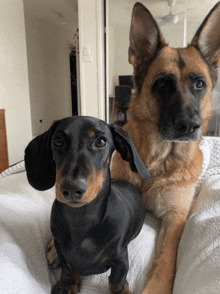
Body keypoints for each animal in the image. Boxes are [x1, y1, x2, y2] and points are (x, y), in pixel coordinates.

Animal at [111, 1, 220, 292]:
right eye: (162, 84)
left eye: (199, 84)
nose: (190, 126)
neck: (157, 161)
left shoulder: (175, 218)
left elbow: (166, 260)